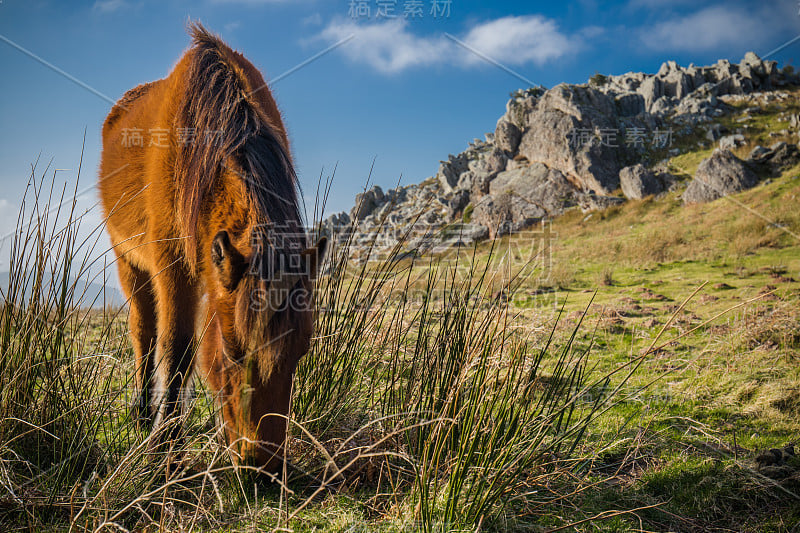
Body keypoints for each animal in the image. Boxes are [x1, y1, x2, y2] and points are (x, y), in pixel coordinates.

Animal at [99, 20, 324, 472]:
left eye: (301, 352)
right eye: (234, 351)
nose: (262, 467)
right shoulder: (172, 265)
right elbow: (177, 349)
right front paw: (165, 448)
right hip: (129, 261)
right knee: (143, 333)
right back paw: (141, 414)